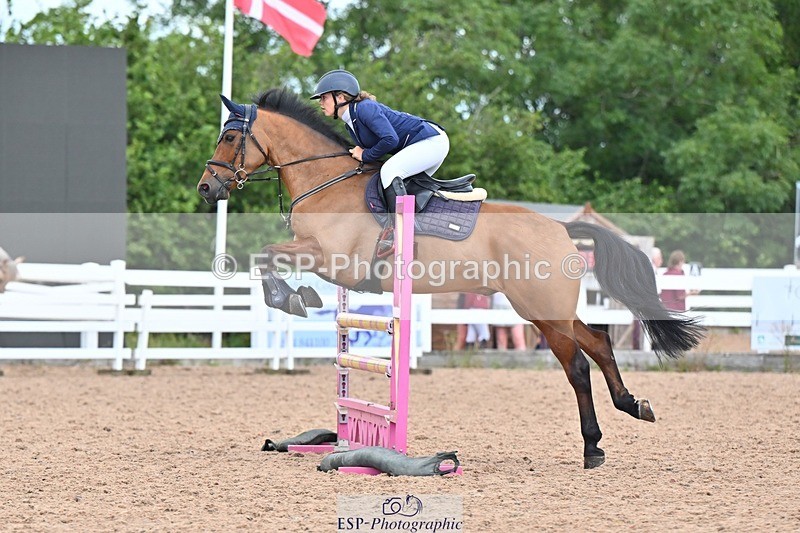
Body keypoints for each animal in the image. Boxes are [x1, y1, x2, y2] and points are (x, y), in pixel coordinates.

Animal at [197, 88, 704, 469]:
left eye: (229, 136)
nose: (206, 188)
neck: (326, 180)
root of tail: (561, 228)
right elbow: (268, 258)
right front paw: (299, 295)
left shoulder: (335, 259)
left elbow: (267, 257)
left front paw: (293, 298)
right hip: (545, 310)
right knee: (598, 342)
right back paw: (631, 407)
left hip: (540, 310)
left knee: (577, 365)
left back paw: (592, 447)